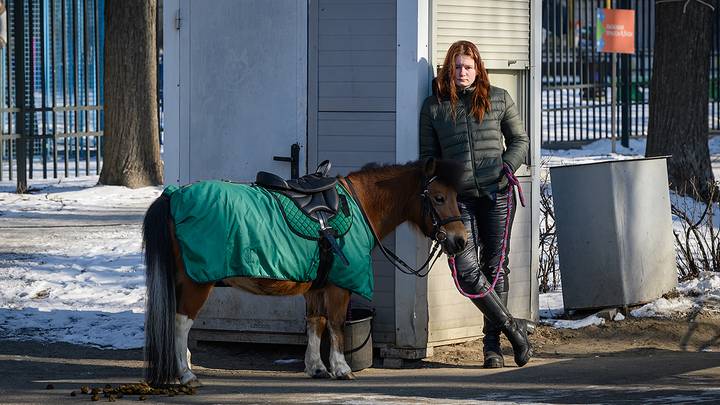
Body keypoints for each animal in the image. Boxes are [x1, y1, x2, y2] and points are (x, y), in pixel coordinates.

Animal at [142, 157, 466, 386]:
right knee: (180, 322)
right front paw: (341, 368)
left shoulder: (318, 286)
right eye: (438, 197)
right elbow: (335, 324)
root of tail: (173, 195)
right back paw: (186, 374)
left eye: (454, 196)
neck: (358, 207)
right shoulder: (339, 286)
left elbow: (315, 323)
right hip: (197, 281)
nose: (460, 240)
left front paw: (317, 367)